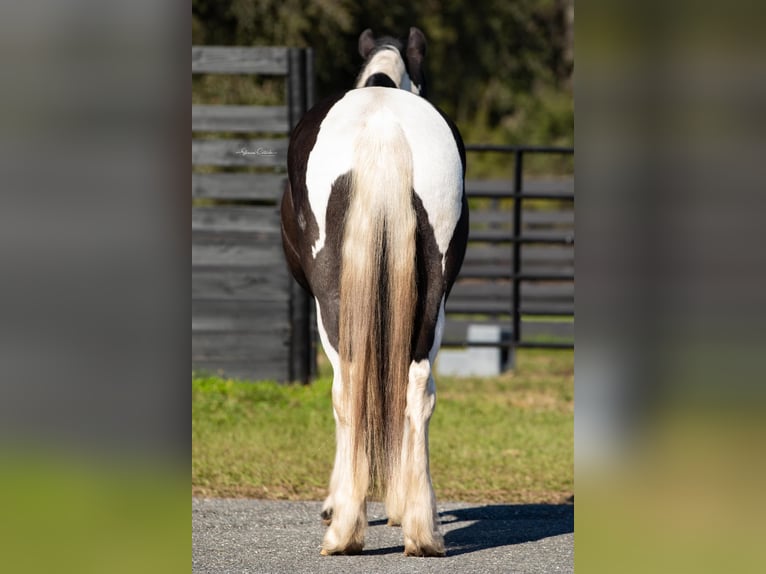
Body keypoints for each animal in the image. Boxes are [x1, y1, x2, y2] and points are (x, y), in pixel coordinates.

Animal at [280, 27, 468, 557]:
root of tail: (384, 125)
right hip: (433, 298)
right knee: (418, 387)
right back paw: (422, 531)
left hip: (332, 302)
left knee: (348, 387)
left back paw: (344, 529)